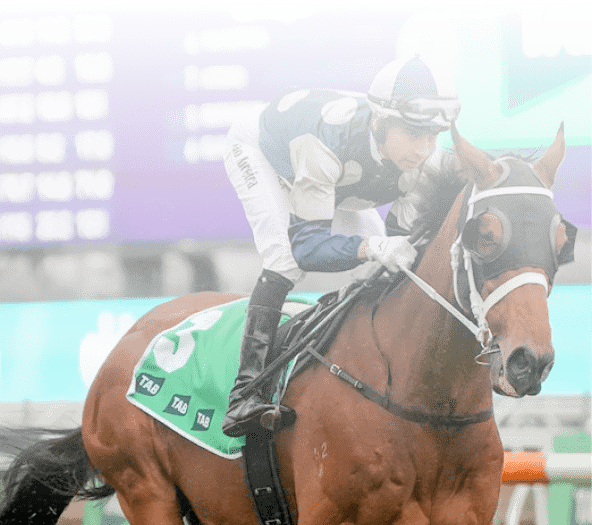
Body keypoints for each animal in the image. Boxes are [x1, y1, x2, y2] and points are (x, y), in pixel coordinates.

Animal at [0, 124, 572, 524]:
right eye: (485, 235)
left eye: (561, 240)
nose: (529, 361)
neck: (425, 406)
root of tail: (124, 345)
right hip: (145, 489)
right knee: (280, 260)